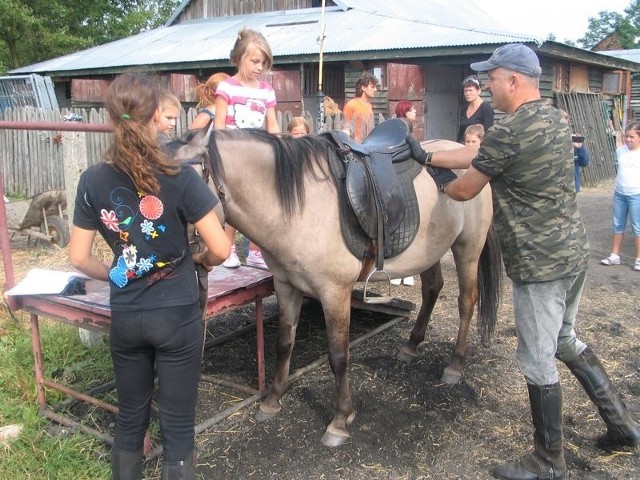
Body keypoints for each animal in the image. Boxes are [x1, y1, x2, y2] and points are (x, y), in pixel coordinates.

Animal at [170, 123, 500, 446]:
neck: (298, 208)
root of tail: (462, 150)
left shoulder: (335, 293)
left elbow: (339, 356)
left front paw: (340, 420)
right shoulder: (285, 285)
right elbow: (283, 343)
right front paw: (273, 400)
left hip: (468, 248)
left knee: (466, 302)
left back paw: (454, 365)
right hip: (430, 250)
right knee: (432, 288)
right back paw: (411, 345)